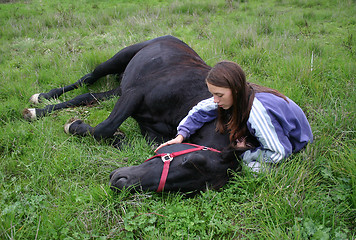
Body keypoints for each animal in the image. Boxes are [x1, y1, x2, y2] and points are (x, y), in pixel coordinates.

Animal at [23, 35, 250, 193]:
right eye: (192, 161)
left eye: (188, 190)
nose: (120, 183)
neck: (189, 97)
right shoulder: (134, 94)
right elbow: (104, 128)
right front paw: (74, 125)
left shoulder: (150, 131)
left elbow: (123, 140)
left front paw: (116, 136)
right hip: (116, 62)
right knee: (86, 79)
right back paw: (39, 101)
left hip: (118, 89)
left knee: (87, 96)